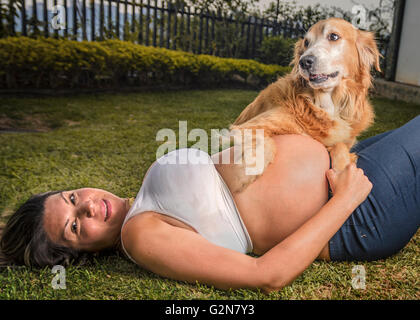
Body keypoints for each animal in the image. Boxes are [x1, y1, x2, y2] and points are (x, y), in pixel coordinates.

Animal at [228, 17, 382, 194]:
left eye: (334, 36)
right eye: (307, 43)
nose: (304, 62)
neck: (324, 105)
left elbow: (340, 146)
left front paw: (343, 171)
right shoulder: (248, 126)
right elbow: (267, 144)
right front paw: (244, 174)